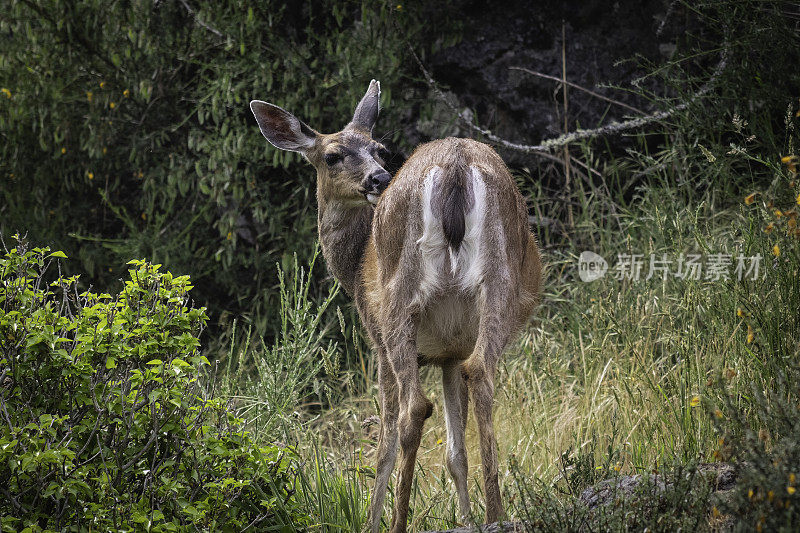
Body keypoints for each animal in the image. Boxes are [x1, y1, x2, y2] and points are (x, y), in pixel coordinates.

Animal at [248, 80, 544, 532]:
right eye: (333, 156)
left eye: (379, 149)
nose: (379, 177)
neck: (354, 265)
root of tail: (456, 165)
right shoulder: (450, 352)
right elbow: (456, 454)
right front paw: (466, 518)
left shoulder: (376, 341)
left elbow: (384, 447)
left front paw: (372, 519)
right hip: (499, 283)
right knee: (482, 374)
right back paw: (496, 515)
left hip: (397, 302)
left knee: (412, 411)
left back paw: (397, 522)